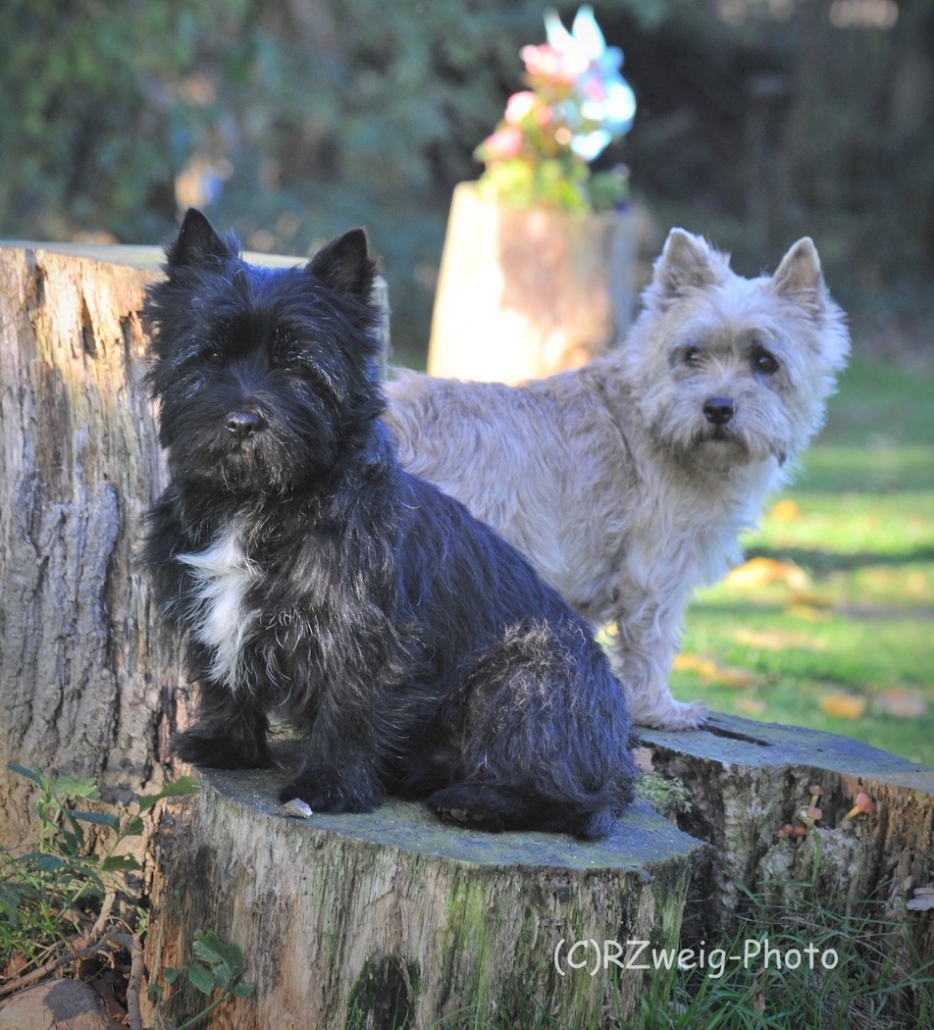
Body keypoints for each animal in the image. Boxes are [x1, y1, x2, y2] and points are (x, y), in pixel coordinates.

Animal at [142, 209, 634, 836]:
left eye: (298, 365)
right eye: (207, 357)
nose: (244, 421)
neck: (261, 499)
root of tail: (620, 755)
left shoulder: (363, 633)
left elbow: (348, 707)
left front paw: (329, 785)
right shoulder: (206, 602)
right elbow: (223, 679)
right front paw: (227, 747)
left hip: (523, 678)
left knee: (568, 795)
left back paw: (477, 800)